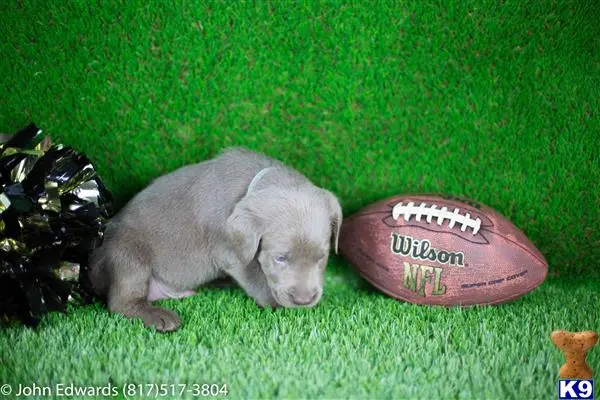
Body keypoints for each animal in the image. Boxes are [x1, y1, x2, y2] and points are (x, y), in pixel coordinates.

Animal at [89, 147, 342, 332]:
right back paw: (157, 315)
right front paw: (275, 305)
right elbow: (255, 277)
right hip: (128, 253)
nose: (304, 300)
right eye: (280, 258)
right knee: (121, 301)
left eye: (322, 257)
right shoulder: (232, 253)